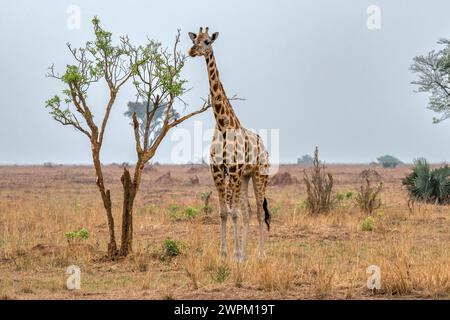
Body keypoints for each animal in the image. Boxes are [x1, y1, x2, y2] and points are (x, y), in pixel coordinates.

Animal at [187, 27, 268, 262]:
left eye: (207, 41)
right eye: (194, 40)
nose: (191, 51)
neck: (223, 125)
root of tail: (265, 148)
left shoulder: (233, 170)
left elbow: (233, 213)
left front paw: (236, 253)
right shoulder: (217, 170)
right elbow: (224, 212)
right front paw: (225, 254)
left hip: (260, 174)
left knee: (258, 211)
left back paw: (260, 253)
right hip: (246, 176)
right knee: (247, 210)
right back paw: (247, 253)